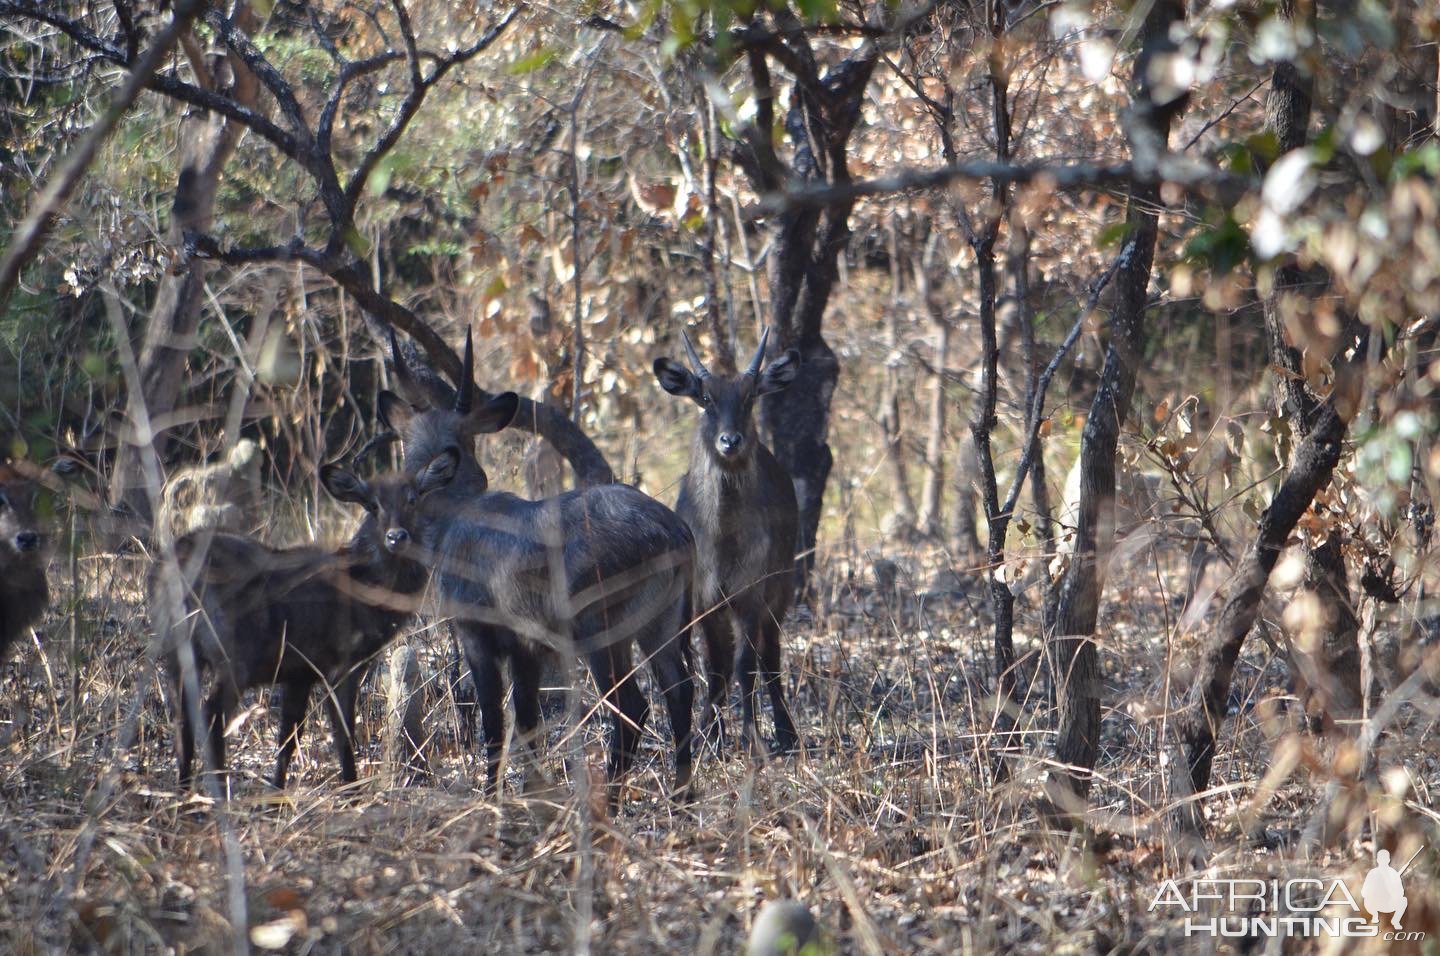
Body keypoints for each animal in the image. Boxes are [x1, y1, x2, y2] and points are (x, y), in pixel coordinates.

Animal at [149, 457, 446, 788]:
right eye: (373, 505)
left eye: (413, 499)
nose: (397, 537)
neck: (366, 588)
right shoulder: (342, 664)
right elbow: (343, 733)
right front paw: (351, 787)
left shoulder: (298, 672)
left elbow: (289, 737)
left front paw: (277, 787)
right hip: (233, 656)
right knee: (210, 716)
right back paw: (218, 790)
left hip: (175, 650)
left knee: (181, 717)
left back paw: (185, 786)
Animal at [383, 328, 696, 800]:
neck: (458, 513)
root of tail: (676, 533)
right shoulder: (528, 647)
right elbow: (527, 721)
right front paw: (530, 793)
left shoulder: (478, 633)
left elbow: (494, 721)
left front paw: (490, 796)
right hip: (661, 624)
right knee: (680, 691)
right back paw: (681, 796)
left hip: (601, 630)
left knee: (633, 707)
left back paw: (612, 800)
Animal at [653, 328, 800, 754]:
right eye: (705, 398)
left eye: (750, 397)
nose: (729, 441)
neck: (722, 542)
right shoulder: (705, 600)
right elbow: (715, 666)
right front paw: (710, 736)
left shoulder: (749, 595)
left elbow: (744, 665)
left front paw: (752, 738)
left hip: (780, 591)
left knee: (770, 657)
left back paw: (786, 734)